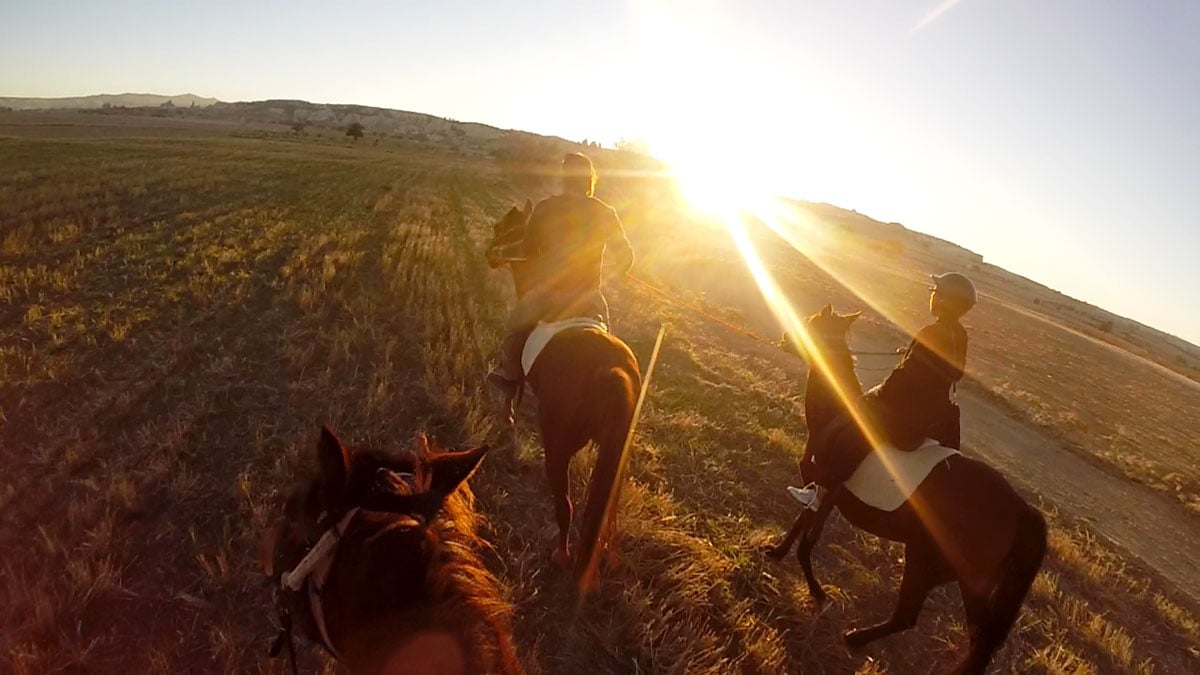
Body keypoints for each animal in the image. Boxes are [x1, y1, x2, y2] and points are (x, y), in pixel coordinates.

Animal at [484, 200, 643, 588]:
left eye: (508, 227)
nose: (490, 254)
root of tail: (612, 372)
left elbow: (510, 388)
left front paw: (507, 415)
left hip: (558, 447)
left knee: (565, 505)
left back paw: (561, 556)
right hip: (614, 458)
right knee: (605, 515)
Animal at [768, 306, 1041, 672]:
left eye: (811, 322)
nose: (786, 338)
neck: (835, 410)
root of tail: (1019, 509)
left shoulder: (828, 488)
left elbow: (808, 540)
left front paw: (817, 591)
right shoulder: (824, 491)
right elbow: (800, 525)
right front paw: (777, 553)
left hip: (936, 565)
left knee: (936, 625)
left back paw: (855, 638)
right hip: (956, 575)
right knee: (965, 633)